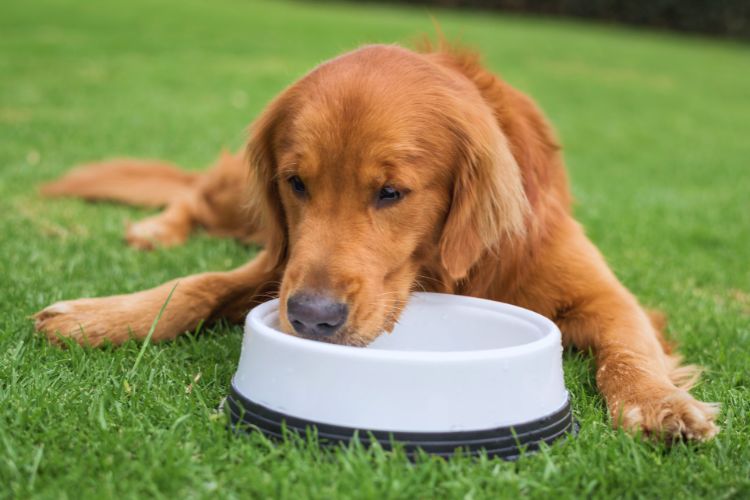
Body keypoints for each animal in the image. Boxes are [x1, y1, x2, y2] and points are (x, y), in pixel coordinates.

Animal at [32, 44, 720, 442]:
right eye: (296, 183)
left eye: (391, 192)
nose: (313, 318)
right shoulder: (282, 263)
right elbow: (197, 285)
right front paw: (101, 316)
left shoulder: (602, 292)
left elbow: (627, 345)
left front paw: (658, 402)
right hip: (242, 204)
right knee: (195, 192)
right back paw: (155, 228)